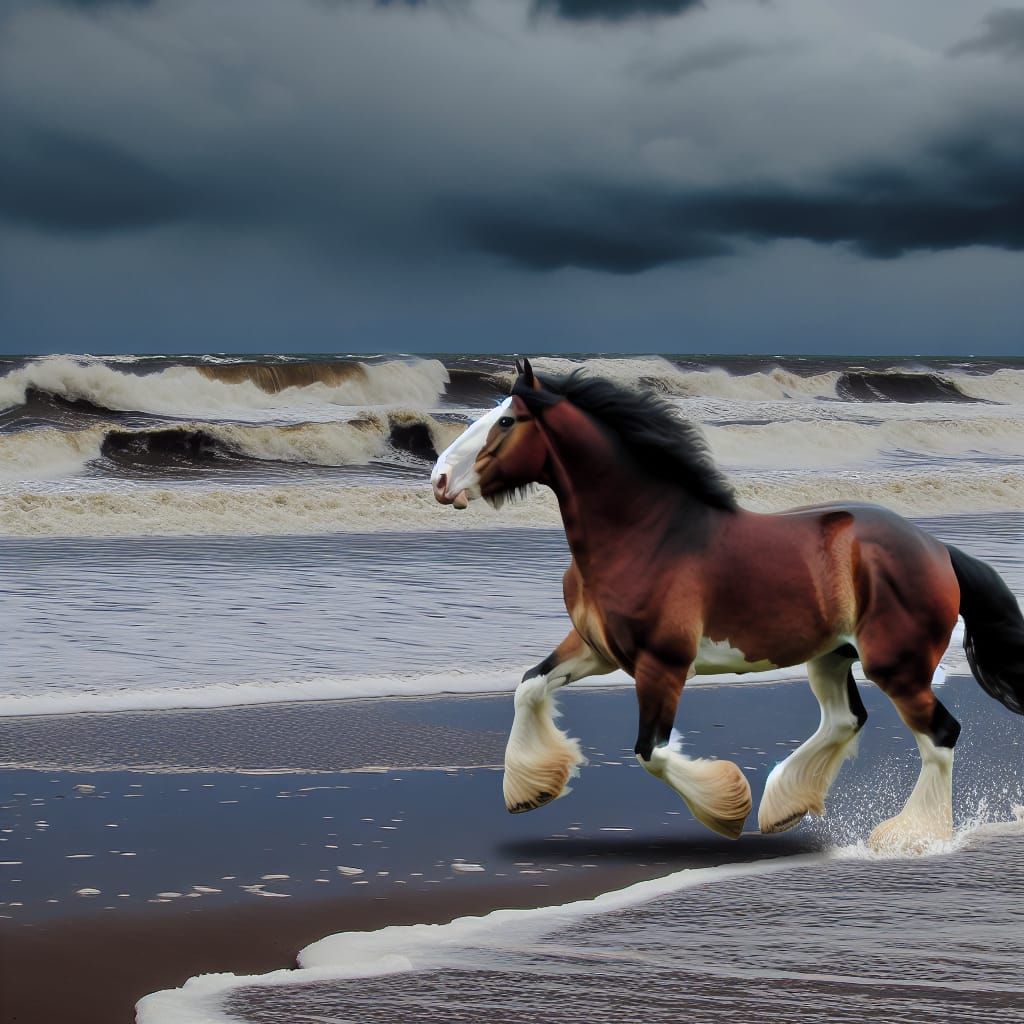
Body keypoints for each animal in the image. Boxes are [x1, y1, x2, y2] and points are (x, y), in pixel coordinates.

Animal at [430, 360, 1024, 850]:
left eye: (507, 422)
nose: (439, 479)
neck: (647, 535)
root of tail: (936, 548)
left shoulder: (663, 665)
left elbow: (652, 752)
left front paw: (726, 809)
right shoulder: (595, 648)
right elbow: (529, 686)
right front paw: (530, 790)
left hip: (896, 665)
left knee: (939, 736)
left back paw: (911, 837)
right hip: (830, 656)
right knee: (845, 720)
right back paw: (785, 807)